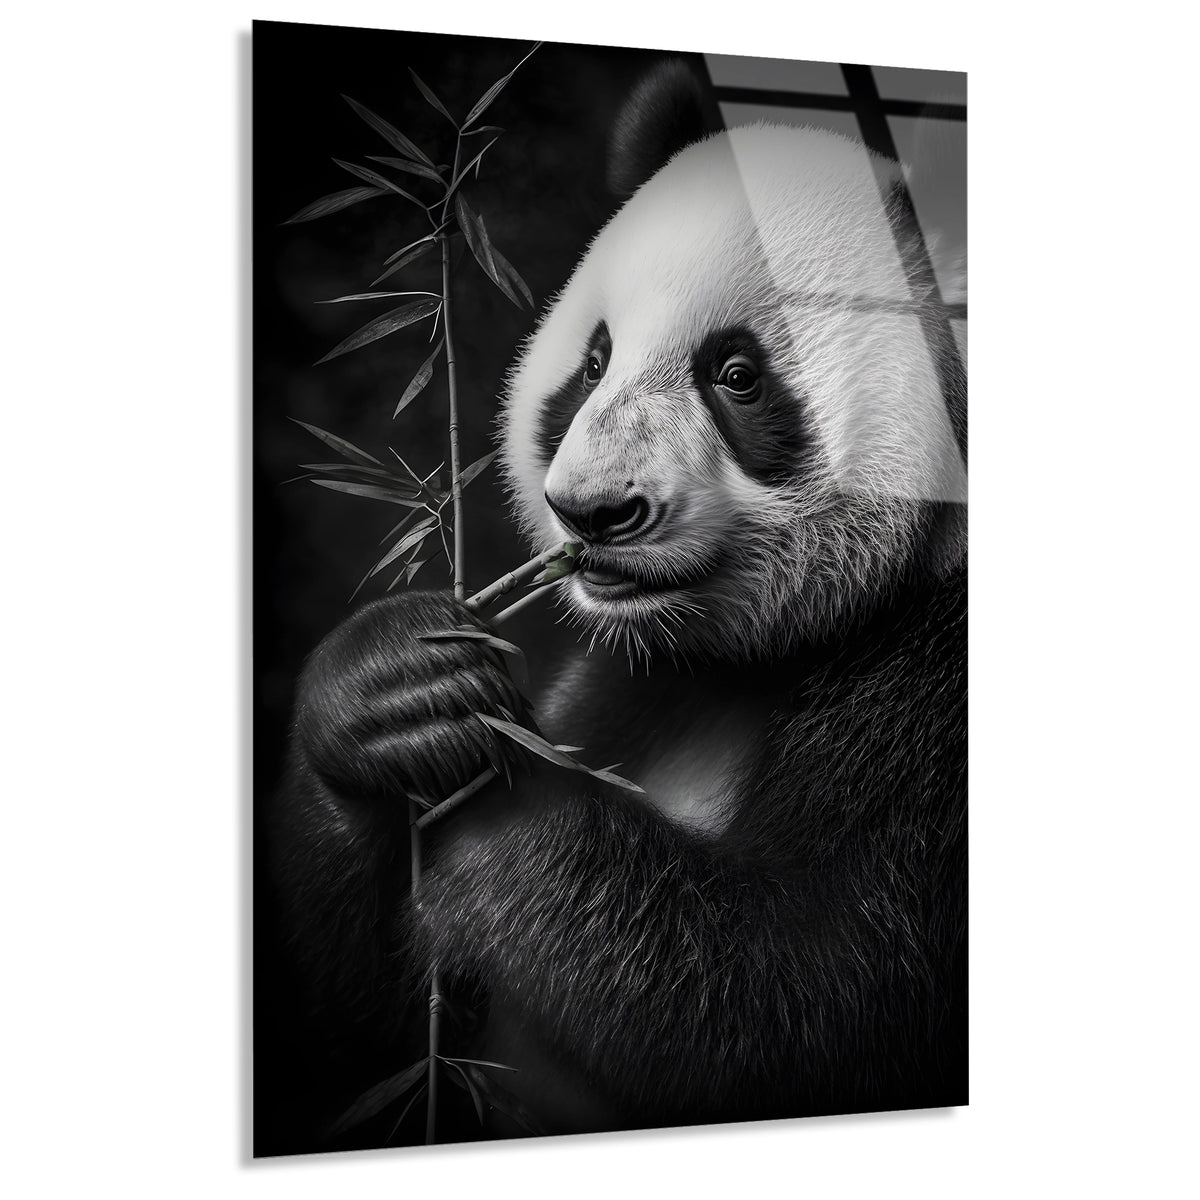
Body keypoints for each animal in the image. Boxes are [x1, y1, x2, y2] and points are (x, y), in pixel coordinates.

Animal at [272, 62, 967, 1145]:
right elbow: (366, 1048)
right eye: (593, 362)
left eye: (737, 374)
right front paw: (395, 694)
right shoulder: (632, 679)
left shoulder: (941, 699)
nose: (592, 513)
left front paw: (503, 814)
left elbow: (810, 995)